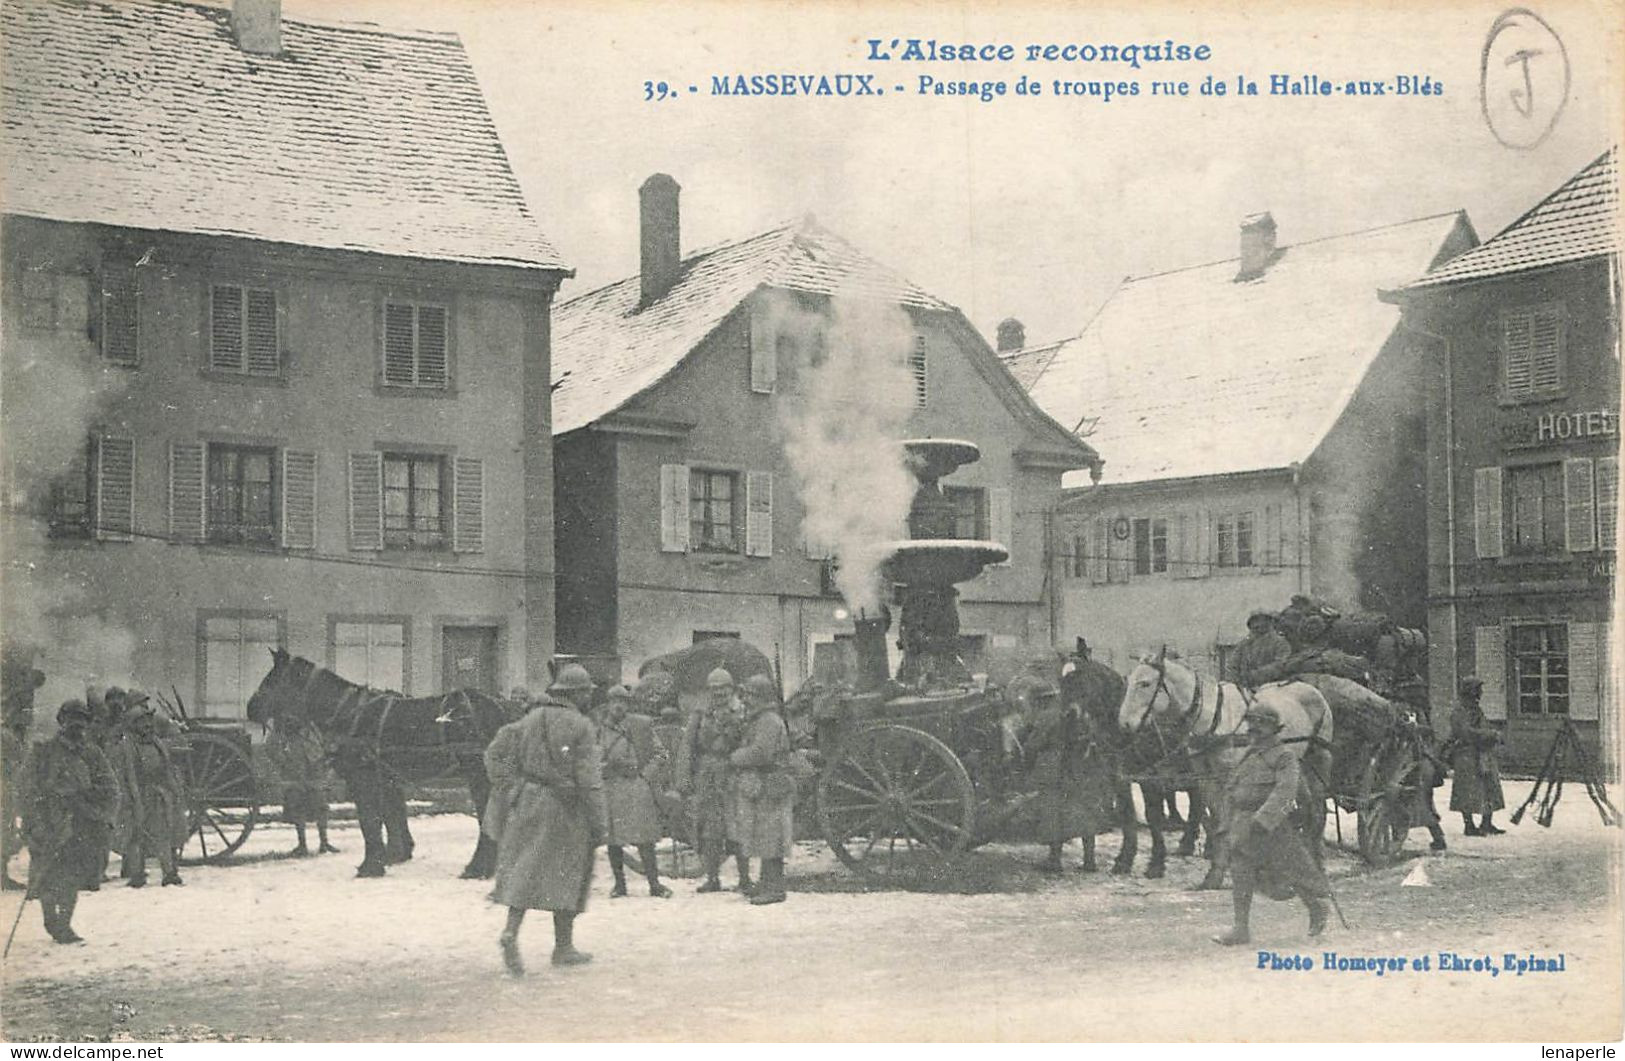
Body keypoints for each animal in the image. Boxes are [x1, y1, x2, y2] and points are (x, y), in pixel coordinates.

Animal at [245, 649, 513, 883]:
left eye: (271, 680)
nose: (250, 708)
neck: (349, 714)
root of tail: (502, 708)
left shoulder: (364, 778)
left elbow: (369, 820)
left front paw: (371, 866)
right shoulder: (385, 778)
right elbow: (388, 816)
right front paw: (389, 857)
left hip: (480, 776)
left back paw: (477, 868)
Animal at [1118, 649, 1332, 890]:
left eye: (1145, 683)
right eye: (1128, 681)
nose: (1124, 724)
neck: (1214, 716)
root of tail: (1311, 688)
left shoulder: (1230, 777)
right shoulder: (1206, 779)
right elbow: (1218, 823)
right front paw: (1215, 873)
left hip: (1320, 762)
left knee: (1318, 812)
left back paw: (1317, 864)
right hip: (1297, 765)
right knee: (1304, 810)